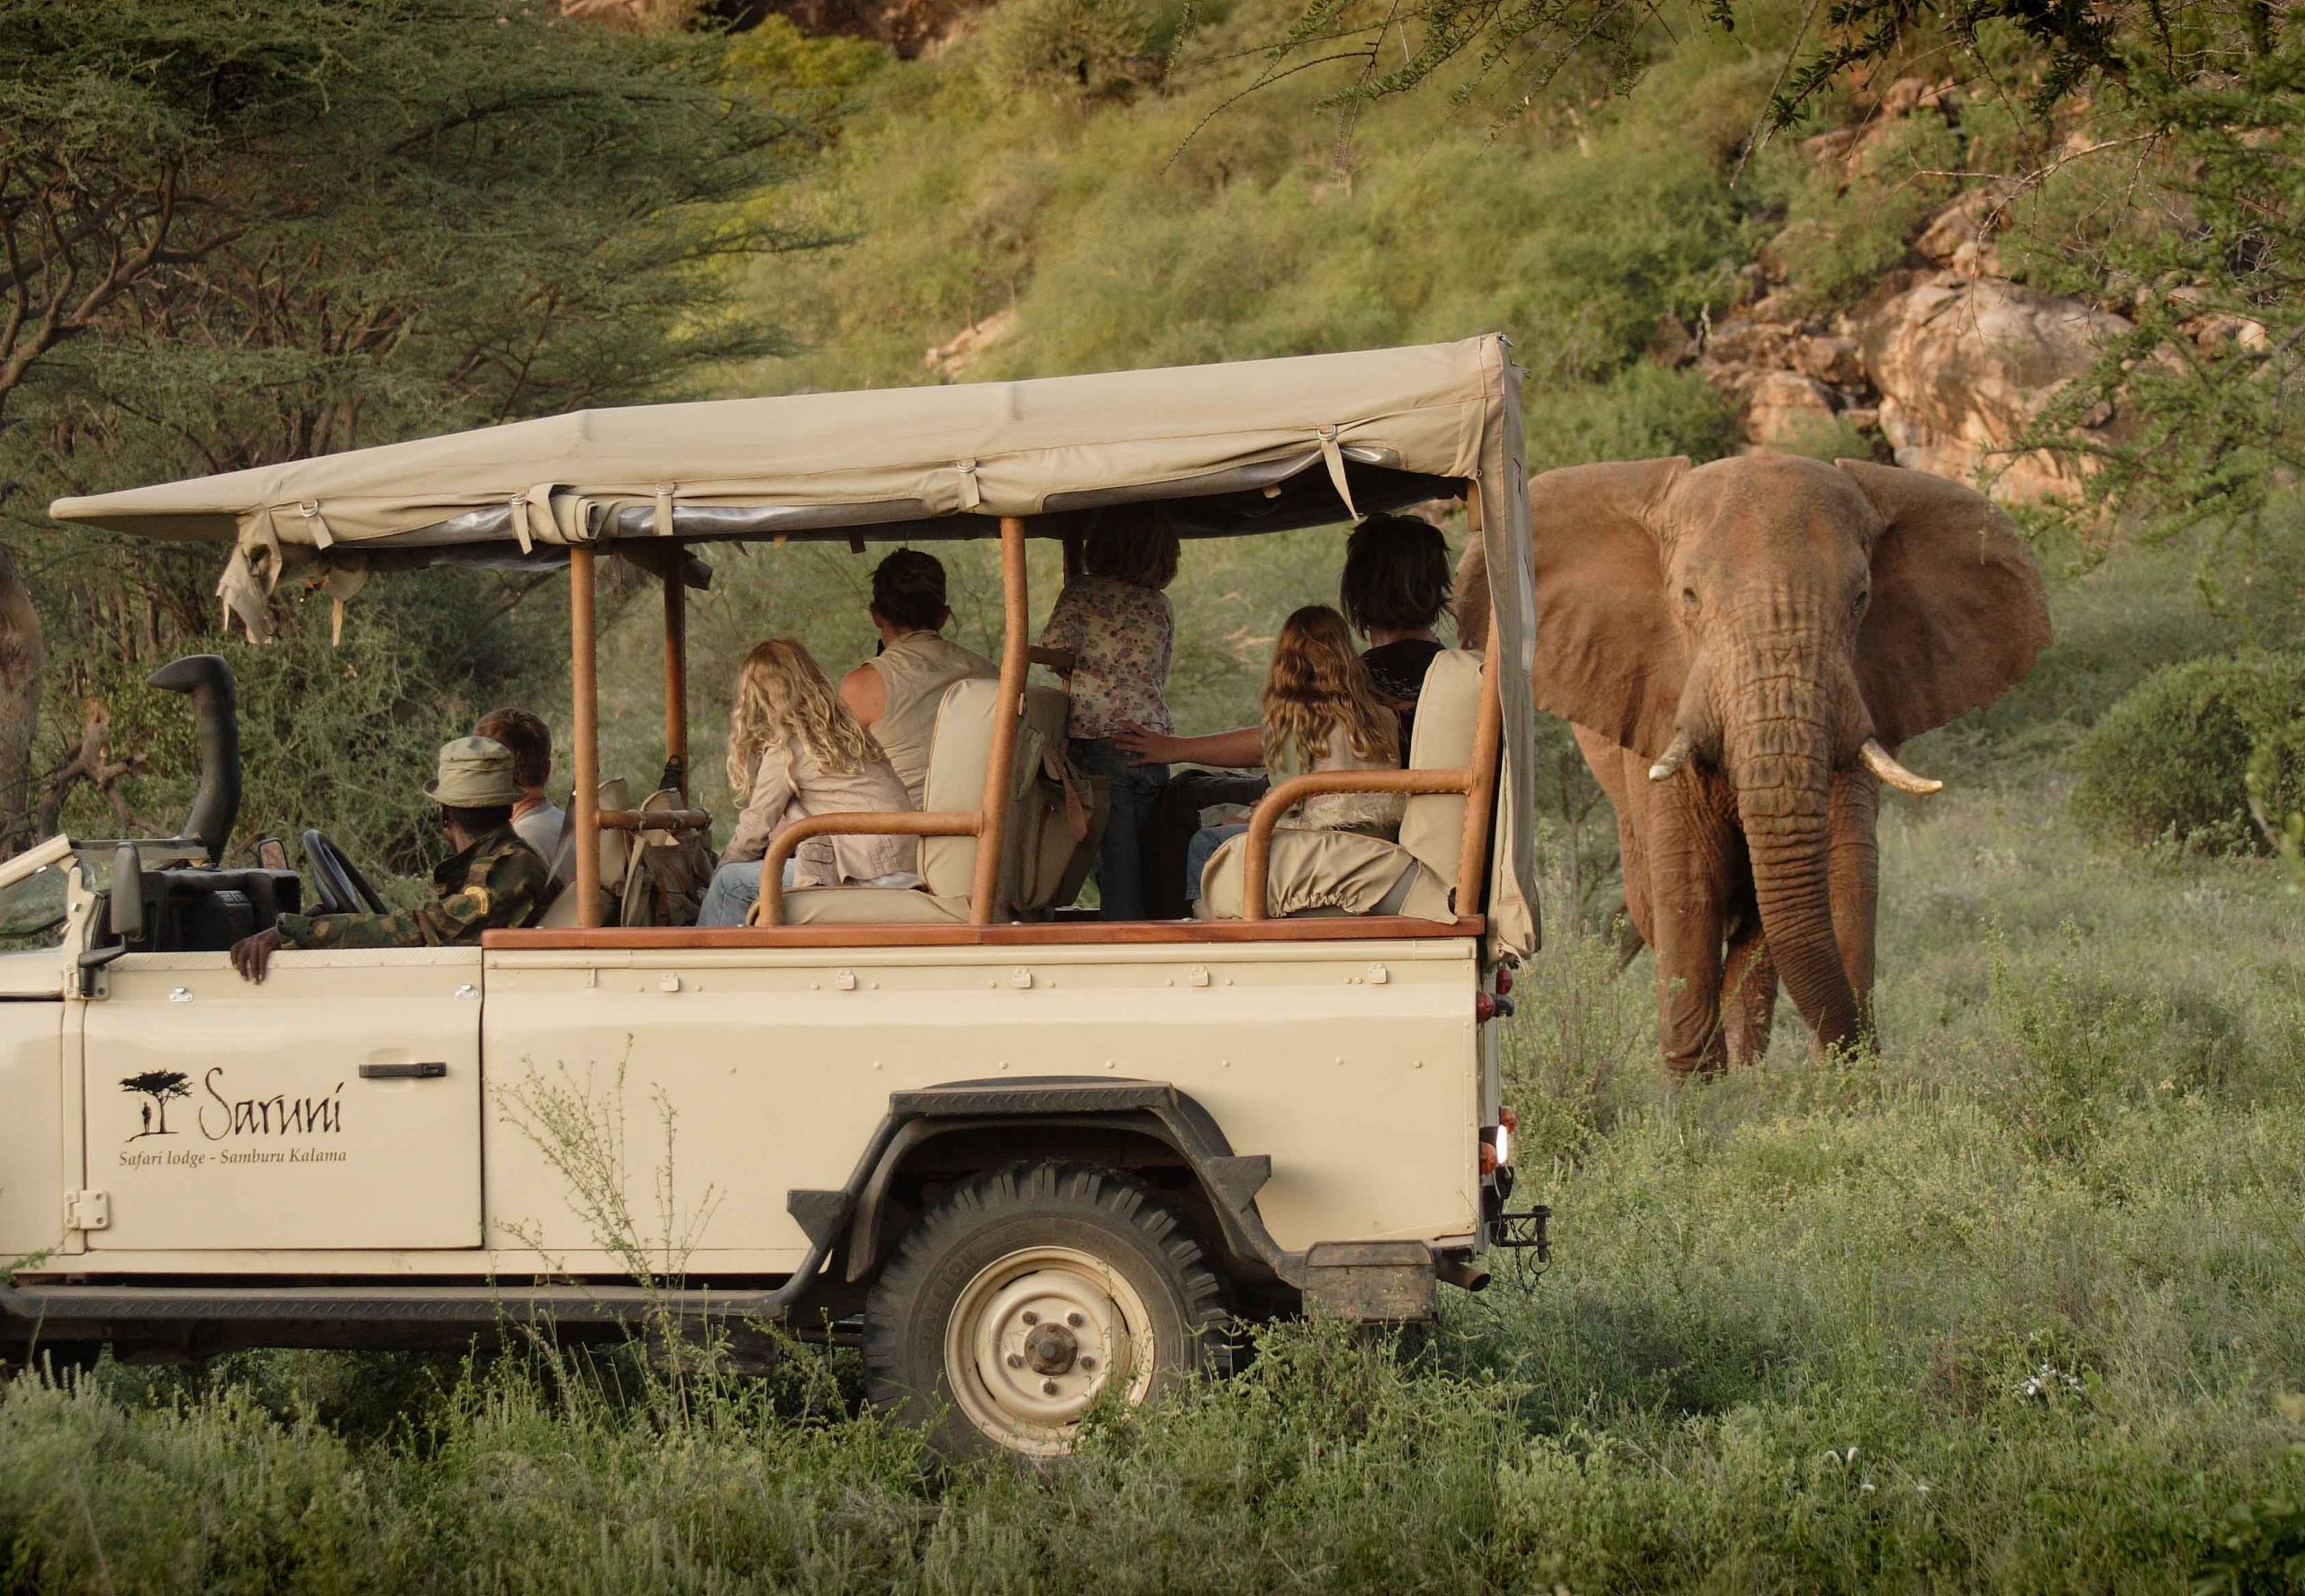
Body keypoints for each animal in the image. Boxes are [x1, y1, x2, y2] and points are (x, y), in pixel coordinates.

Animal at [1460, 454, 2050, 1074]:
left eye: (1861, 599)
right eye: (1689, 597)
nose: (1858, 1050)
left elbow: (1847, 868)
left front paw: (1845, 1082)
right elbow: (1689, 878)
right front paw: (1697, 1087)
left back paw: (1749, 1069)